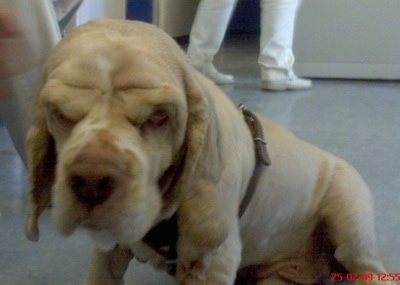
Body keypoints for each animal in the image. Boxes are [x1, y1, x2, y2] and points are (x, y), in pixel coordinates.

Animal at [24, 18, 394, 282]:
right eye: (60, 113)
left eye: (159, 116)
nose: (91, 180)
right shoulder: (109, 251)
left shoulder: (213, 259)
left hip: (351, 230)